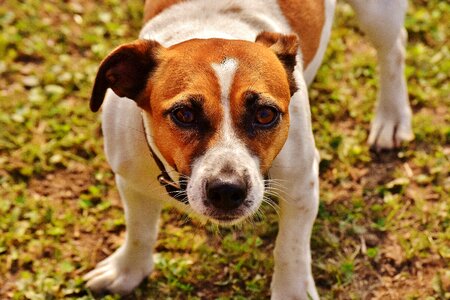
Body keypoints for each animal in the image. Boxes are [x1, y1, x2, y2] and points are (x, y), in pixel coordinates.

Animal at [82, 0, 414, 298]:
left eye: (265, 114)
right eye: (183, 114)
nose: (227, 190)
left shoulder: (301, 185)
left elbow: (291, 250)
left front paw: (292, 292)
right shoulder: (131, 182)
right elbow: (139, 231)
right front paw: (127, 271)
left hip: (378, 15)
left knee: (394, 47)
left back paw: (392, 116)